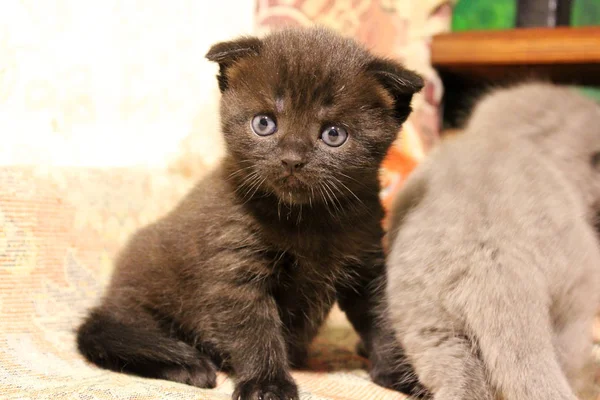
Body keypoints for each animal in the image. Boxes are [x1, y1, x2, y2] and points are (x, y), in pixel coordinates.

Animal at [76, 28, 422, 400]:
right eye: (264, 123)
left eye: (334, 134)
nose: (292, 159)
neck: (309, 221)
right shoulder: (237, 271)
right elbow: (255, 332)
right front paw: (267, 384)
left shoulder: (368, 267)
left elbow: (384, 321)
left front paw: (401, 374)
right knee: (113, 337)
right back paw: (187, 365)